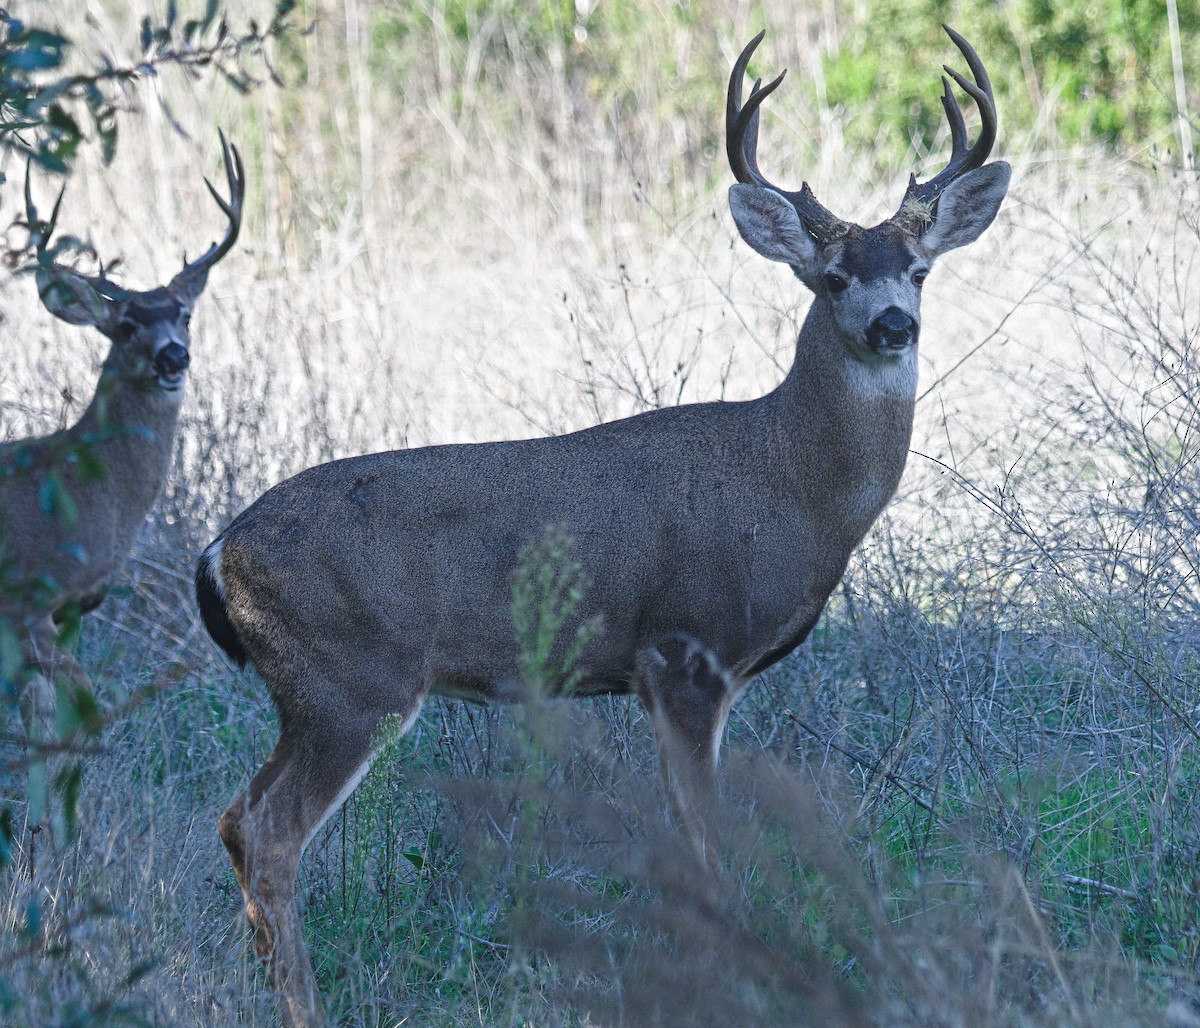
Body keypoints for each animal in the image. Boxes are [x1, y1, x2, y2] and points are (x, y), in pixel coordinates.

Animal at [1, 136, 244, 834]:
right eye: (126, 324)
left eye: (184, 314)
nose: (173, 356)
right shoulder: (27, 599)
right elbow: (72, 710)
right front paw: (57, 828)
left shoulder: (68, 610)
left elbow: (45, 715)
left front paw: (47, 825)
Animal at [195, 27, 1009, 1025]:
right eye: (833, 278)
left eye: (921, 270)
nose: (894, 323)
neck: (789, 485)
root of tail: (219, 549)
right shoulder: (683, 653)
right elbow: (705, 841)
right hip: (351, 679)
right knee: (270, 832)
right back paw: (309, 1005)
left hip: (310, 693)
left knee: (236, 819)